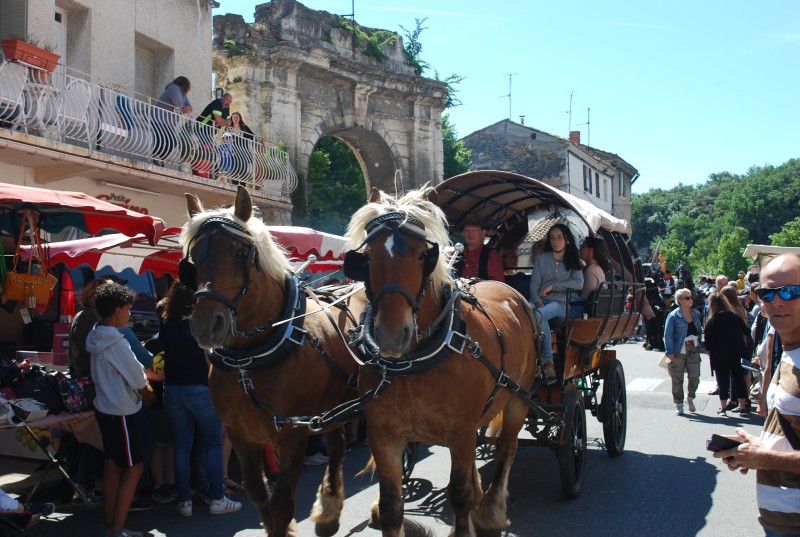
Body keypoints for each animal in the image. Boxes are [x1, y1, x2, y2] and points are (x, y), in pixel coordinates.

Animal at [181, 186, 366, 532]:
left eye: (241, 253)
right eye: (193, 257)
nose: (206, 325)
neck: (251, 362)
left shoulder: (292, 435)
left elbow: (281, 507)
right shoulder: (241, 435)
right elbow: (259, 495)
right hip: (334, 407)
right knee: (337, 447)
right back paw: (329, 512)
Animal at [342, 188, 536, 536]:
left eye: (423, 255)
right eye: (367, 258)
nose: (392, 336)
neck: (415, 363)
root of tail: (511, 290)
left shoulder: (461, 432)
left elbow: (459, 495)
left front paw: (471, 514)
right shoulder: (384, 436)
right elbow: (391, 508)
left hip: (518, 397)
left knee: (507, 447)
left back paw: (491, 509)